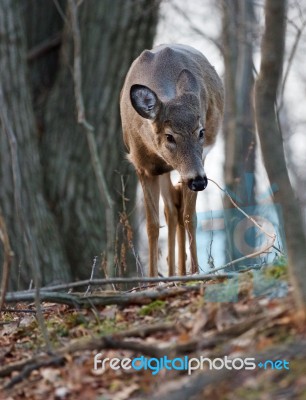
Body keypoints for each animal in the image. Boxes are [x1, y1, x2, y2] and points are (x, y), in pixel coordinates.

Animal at [120, 43, 225, 276]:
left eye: (201, 131)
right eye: (169, 136)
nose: (199, 181)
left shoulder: (197, 162)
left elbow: (190, 216)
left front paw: (194, 273)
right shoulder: (143, 167)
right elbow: (152, 225)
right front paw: (151, 279)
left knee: (179, 210)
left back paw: (181, 273)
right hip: (167, 171)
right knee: (170, 210)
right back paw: (171, 274)